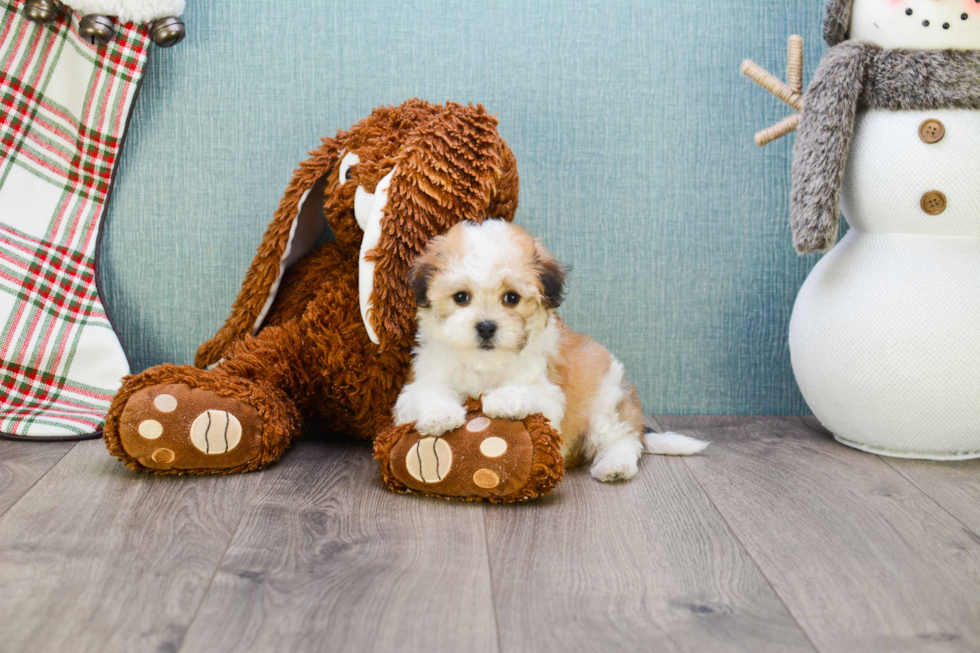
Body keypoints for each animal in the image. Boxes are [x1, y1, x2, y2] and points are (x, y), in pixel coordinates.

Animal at [394, 219, 708, 478]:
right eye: (461, 297)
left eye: (512, 298)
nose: (486, 327)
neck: (485, 363)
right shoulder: (421, 380)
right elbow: (427, 392)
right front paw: (440, 415)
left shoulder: (548, 391)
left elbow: (529, 390)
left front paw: (504, 400)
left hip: (606, 401)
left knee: (622, 439)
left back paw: (615, 466)